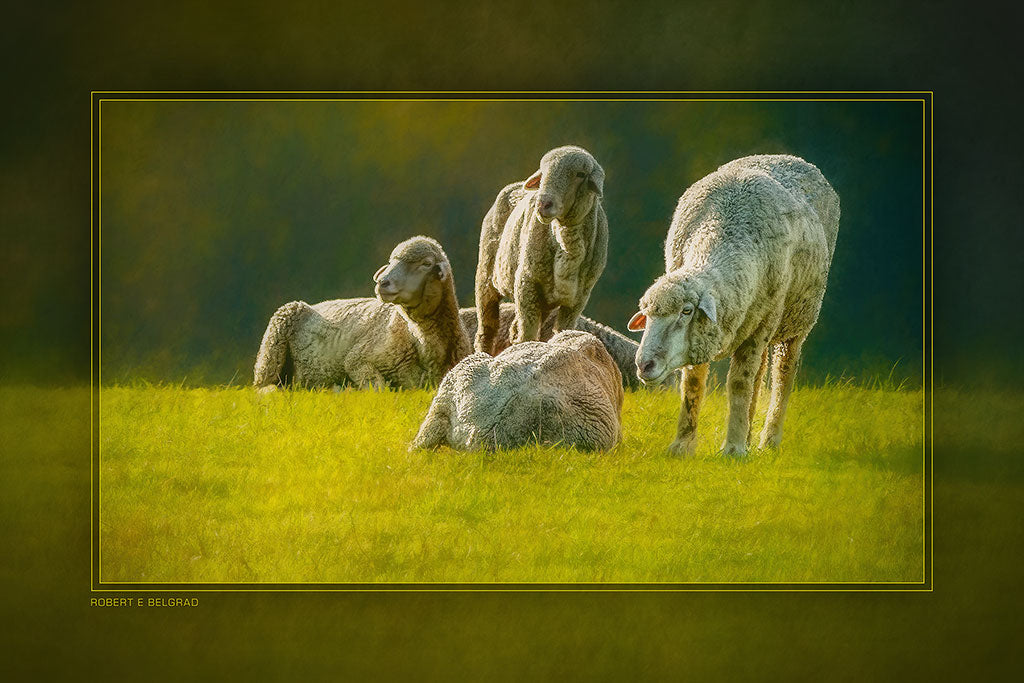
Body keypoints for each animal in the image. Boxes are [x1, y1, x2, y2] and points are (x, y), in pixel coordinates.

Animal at [253, 235, 470, 392]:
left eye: (426, 263)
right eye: (391, 261)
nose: (382, 282)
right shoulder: (357, 359)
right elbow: (379, 390)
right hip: (270, 353)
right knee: (263, 388)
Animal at [474, 145, 609, 355]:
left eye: (580, 174)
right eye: (543, 173)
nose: (543, 203)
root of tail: (516, 184)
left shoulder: (577, 300)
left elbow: (562, 331)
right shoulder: (526, 282)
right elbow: (528, 334)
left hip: (544, 299)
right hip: (486, 274)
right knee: (487, 328)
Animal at [627, 154, 840, 456]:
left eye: (686, 311)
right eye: (647, 314)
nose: (644, 365)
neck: (723, 227)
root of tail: (792, 159)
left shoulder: (761, 324)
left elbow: (739, 383)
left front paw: (733, 449)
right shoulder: (707, 336)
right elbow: (693, 384)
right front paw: (683, 445)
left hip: (795, 319)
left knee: (782, 374)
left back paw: (768, 440)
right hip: (756, 323)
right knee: (758, 375)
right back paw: (749, 434)